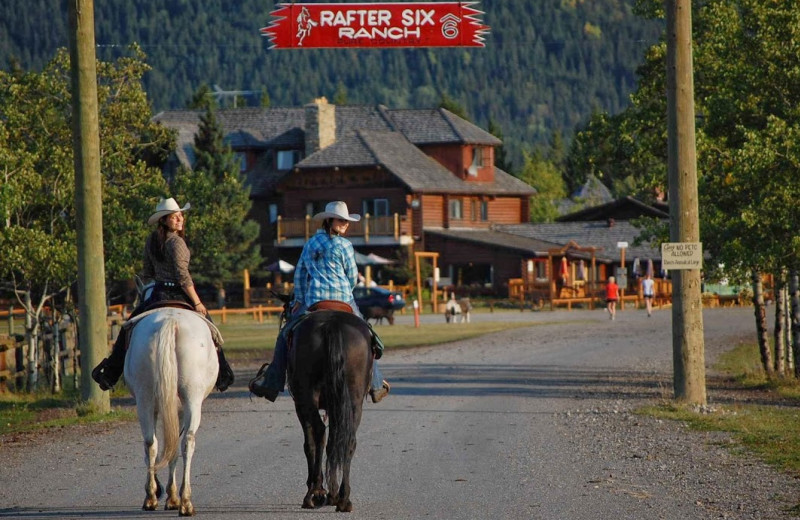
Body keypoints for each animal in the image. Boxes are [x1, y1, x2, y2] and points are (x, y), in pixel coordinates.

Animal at [122, 308, 217, 516]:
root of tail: (171, 322)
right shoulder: (178, 410)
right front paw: (172, 497)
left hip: (145, 397)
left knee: (151, 442)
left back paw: (151, 497)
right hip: (192, 397)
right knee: (187, 441)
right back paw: (185, 501)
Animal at [282, 296, 376, 512]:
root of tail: (333, 325)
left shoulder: (300, 405)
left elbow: (313, 443)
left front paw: (320, 491)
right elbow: (335, 440)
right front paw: (331, 493)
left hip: (306, 398)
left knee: (317, 433)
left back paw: (314, 493)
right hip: (353, 401)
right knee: (347, 439)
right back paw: (342, 498)